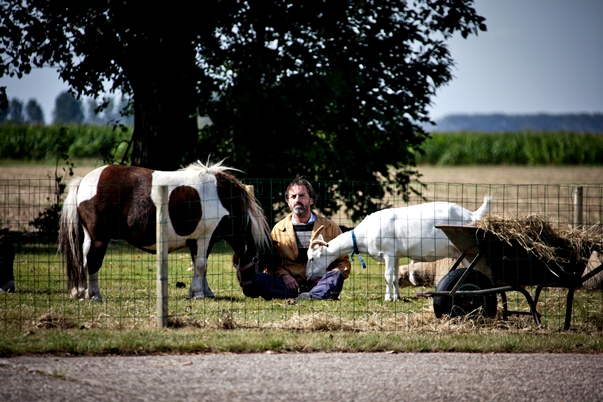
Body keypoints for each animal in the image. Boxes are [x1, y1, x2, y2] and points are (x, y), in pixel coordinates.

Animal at [57, 159, 274, 300]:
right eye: (257, 260)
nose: (252, 293)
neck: (223, 198)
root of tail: (84, 182)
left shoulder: (198, 241)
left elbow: (201, 266)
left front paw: (205, 291)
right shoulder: (204, 238)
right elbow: (201, 266)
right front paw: (198, 294)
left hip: (90, 237)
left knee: (85, 260)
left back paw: (83, 292)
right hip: (100, 237)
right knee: (93, 261)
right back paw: (95, 295)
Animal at [310, 195, 494, 302]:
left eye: (312, 258)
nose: (309, 277)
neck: (365, 233)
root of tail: (471, 215)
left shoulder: (389, 252)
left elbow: (387, 277)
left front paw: (387, 299)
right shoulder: (397, 256)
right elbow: (395, 277)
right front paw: (397, 297)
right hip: (461, 251)